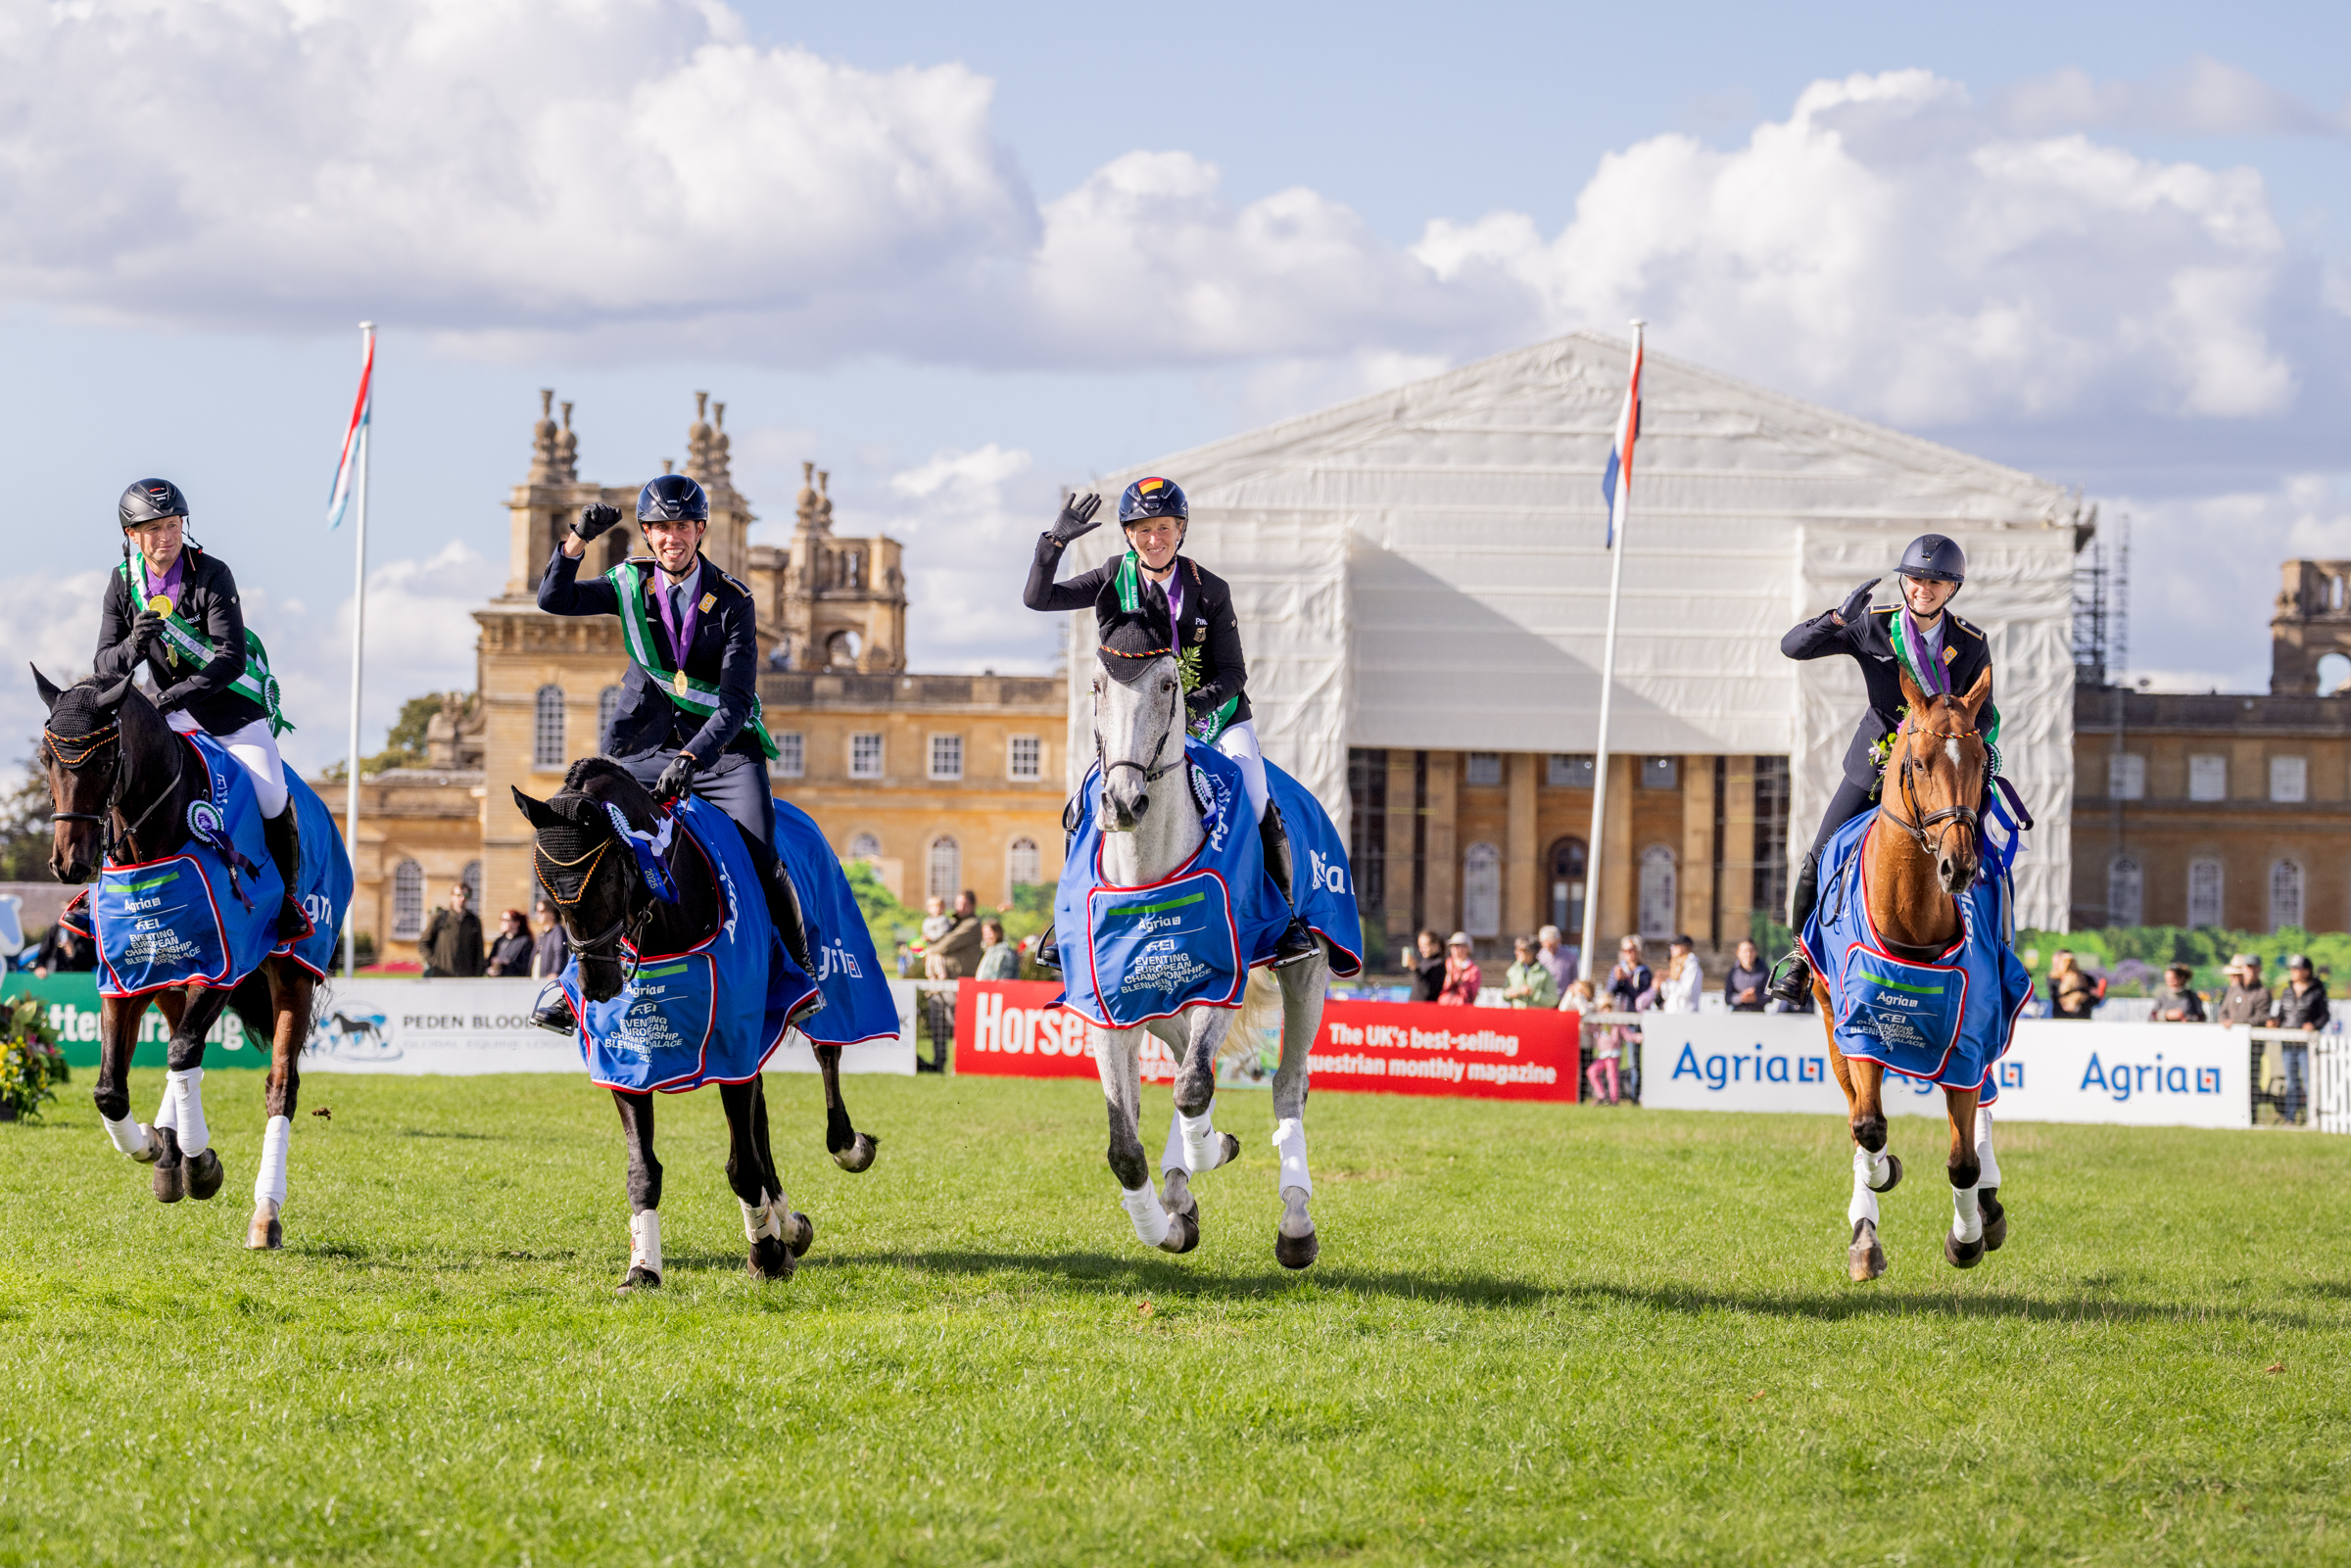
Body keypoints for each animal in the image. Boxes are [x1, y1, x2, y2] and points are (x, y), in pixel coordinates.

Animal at [34, 668, 324, 1250]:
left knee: (277, 1087)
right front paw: (154, 1145)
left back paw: (264, 1213)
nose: (70, 864)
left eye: (105, 761)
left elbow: (184, 1053)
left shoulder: (225, 968)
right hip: (171, 977)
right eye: (46, 760)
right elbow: (110, 1090)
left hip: (293, 974)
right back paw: (170, 1156)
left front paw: (200, 1163)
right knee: (181, 1054)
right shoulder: (125, 975)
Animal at [512, 758, 877, 1291]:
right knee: (761, 1115)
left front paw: (765, 1254)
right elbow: (643, 1170)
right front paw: (643, 1268)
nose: (597, 984)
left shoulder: (731, 1041)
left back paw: (847, 1151)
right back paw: (786, 1223)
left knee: (826, 1056)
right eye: (545, 883)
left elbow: (741, 1166)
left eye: (605, 876)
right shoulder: (629, 1056)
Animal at [1084, 645, 1332, 1269]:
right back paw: (1180, 1189)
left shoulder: (1222, 984)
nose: (1123, 803)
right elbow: (1126, 1146)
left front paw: (1210, 1150)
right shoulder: (1108, 1010)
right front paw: (1167, 1220)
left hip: (1309, 974)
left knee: (1287, 1084)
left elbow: (1194, 1088)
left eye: (1170, 684)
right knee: (1184, 1067)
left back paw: (1295, 1224)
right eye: (1097, 686)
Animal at [1812, 664, 2010, 1282]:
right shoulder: (1859, 1028)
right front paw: (1877, 1187)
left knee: (1988, 1101)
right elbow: (1869, 1127)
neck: (1912, 913)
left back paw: (1989, 1203)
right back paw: (1865, 1225)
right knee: (1856, 1113)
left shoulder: (1966, 1042)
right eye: (1919, 762)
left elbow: (1963, 1160)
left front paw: (1967, 1237)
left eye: (1981, 763)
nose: (1958, 866)